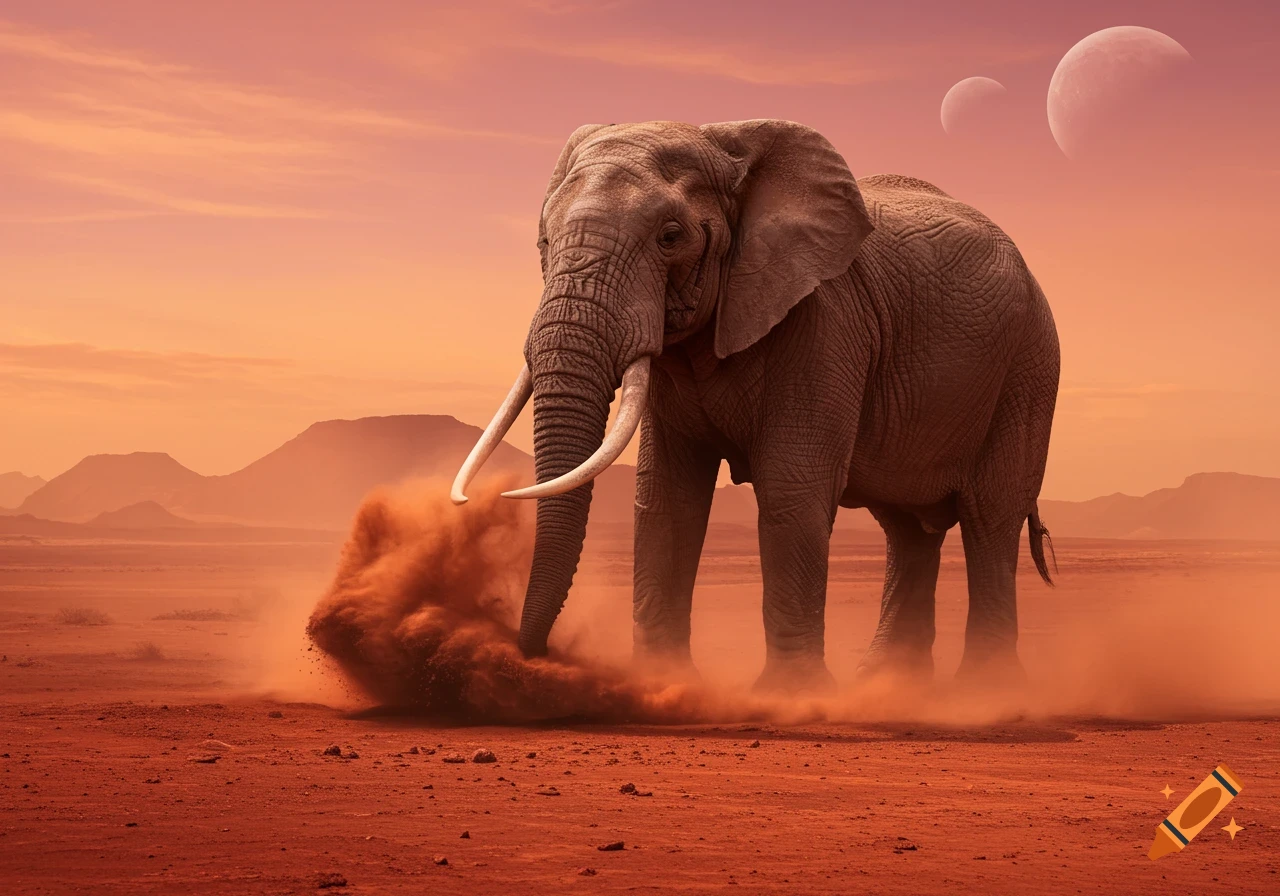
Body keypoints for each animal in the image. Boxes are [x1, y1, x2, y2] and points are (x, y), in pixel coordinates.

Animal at [452, 119, 1059, 691]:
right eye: (544, 242)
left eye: (670, 236)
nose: (535, 652)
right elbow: (668, 498)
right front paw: (665, 683)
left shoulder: (823, 323)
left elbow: (791, 490)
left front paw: (792, 695)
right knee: (908, 530)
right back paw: (888, 686)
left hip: (1028, 368)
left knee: (989, 517)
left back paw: (983, 692)